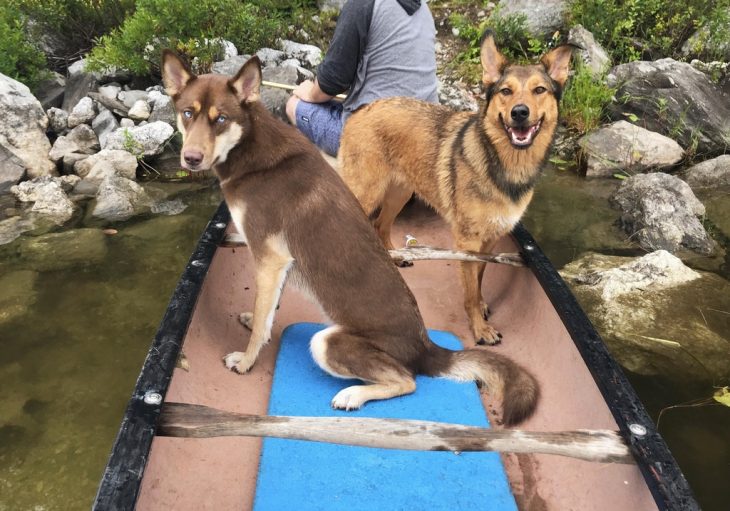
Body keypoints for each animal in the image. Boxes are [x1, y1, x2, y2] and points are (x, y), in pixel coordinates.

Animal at [162, 50, 536, 426]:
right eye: (188, 113)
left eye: (221, 119)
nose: (190, 159)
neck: (251, 151)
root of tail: (427, 349)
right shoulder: (279, 263)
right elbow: (268, 309)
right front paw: (256, 321)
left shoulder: (269, 257)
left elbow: (261, 318)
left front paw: (246, 360)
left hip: (327, 343)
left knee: (407, 380)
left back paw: (353, 395)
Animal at [338, 33, 572, 348]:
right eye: (506, 91)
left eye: (539, 90)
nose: (520, 113)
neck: (503, 164)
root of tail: (362, 109)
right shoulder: (468, 242)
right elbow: (470, 291)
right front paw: (479, 329)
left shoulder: (490, 240)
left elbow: (480, 279)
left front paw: (482, 307)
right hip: (366, 192)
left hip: (399, 194)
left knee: (380, 226)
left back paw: (393, 258)